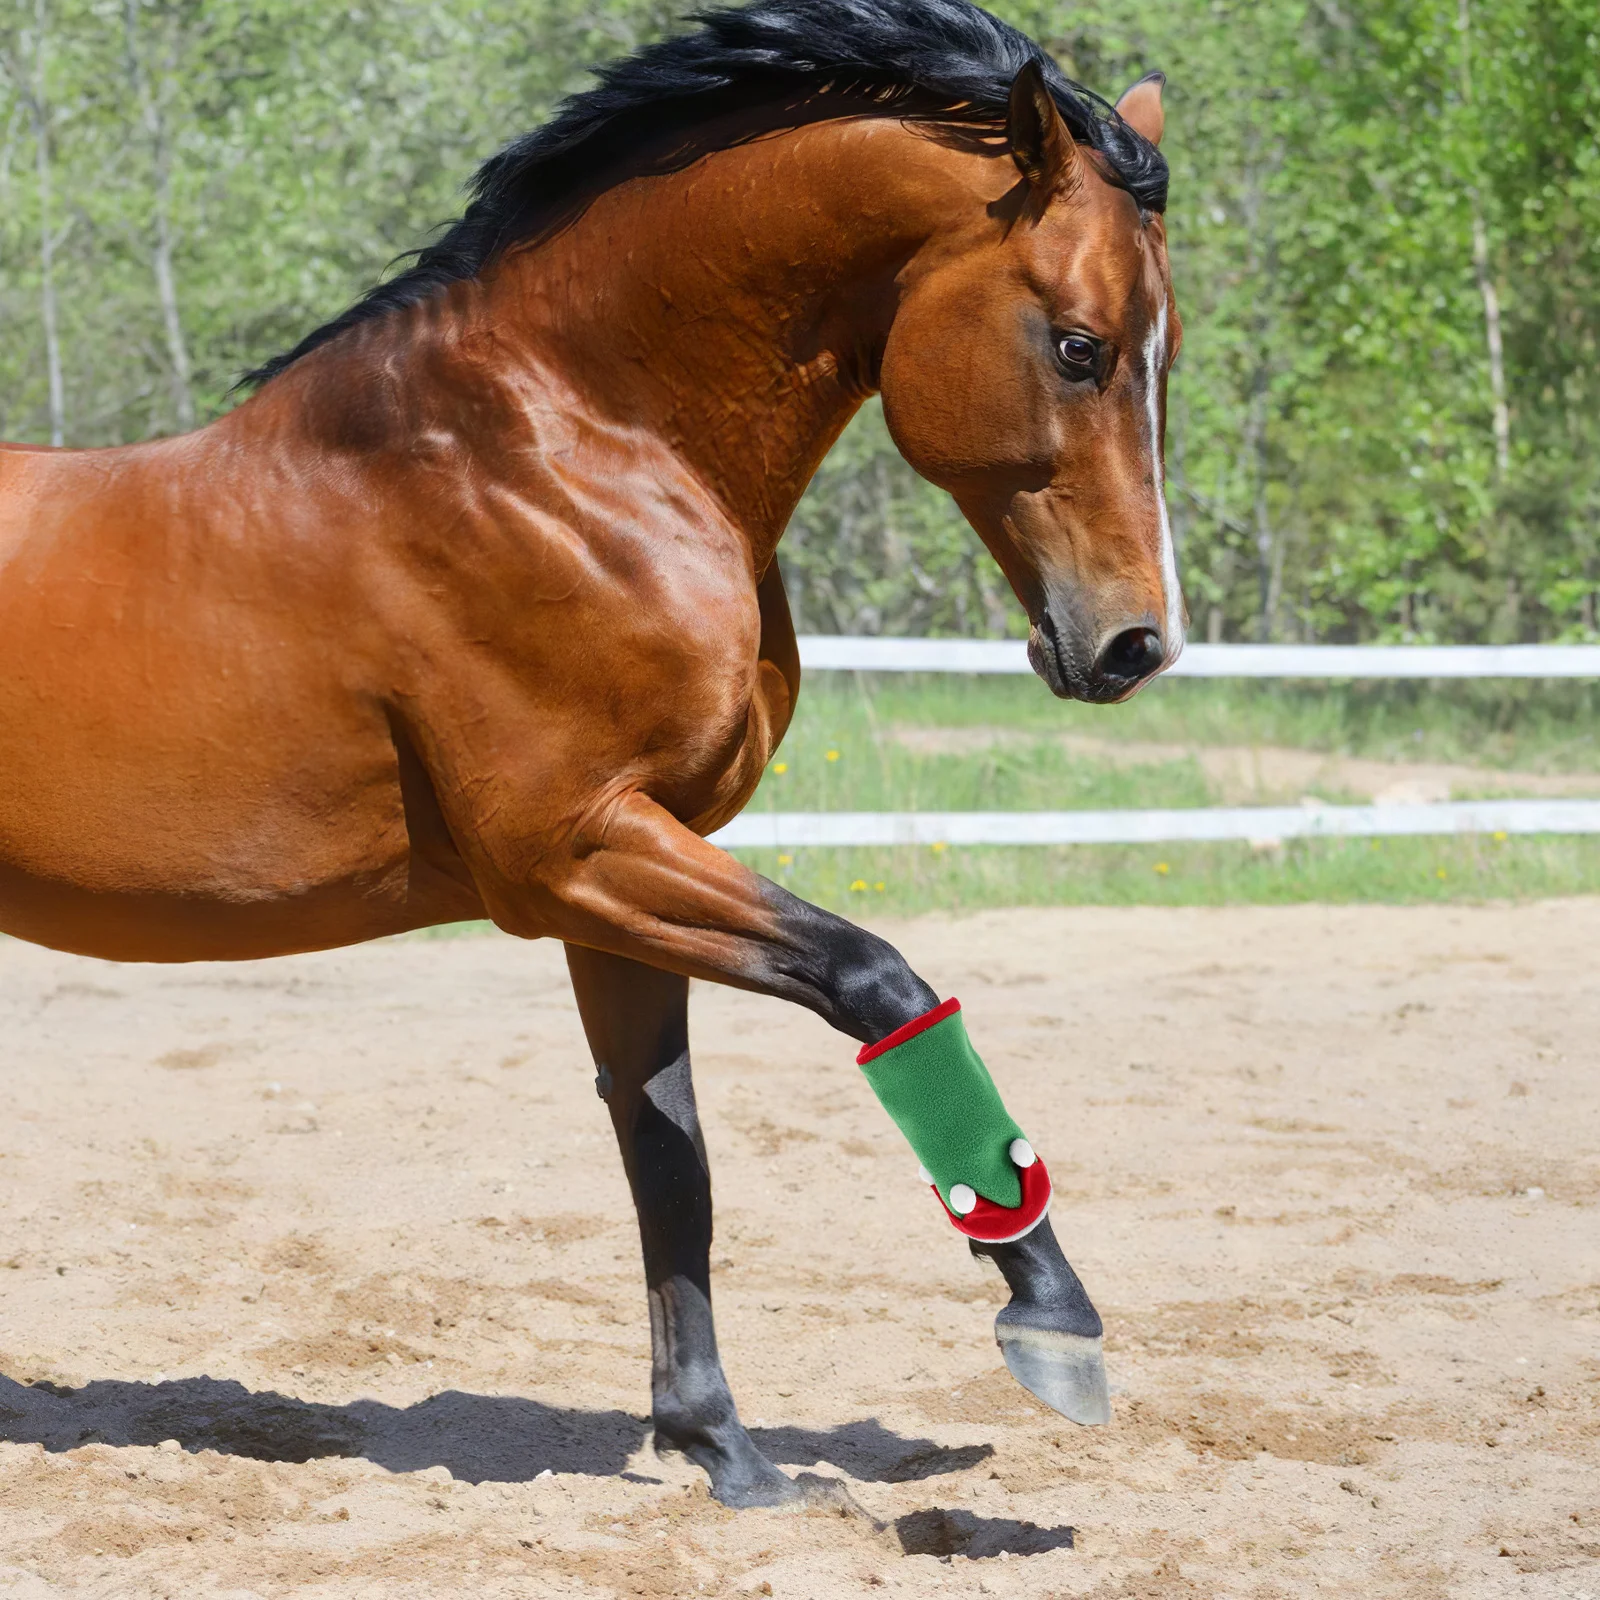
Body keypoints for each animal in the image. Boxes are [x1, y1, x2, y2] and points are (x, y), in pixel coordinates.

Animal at [0, 0, 1181, 1506]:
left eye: (1165, 353)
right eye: (1079, 346)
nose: (1134, 644)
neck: (567, 455)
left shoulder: (624, 874)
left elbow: (670, 1159)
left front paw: (722, 1448)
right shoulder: (570, 852)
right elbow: (876, 980)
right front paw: (1054, 1318)